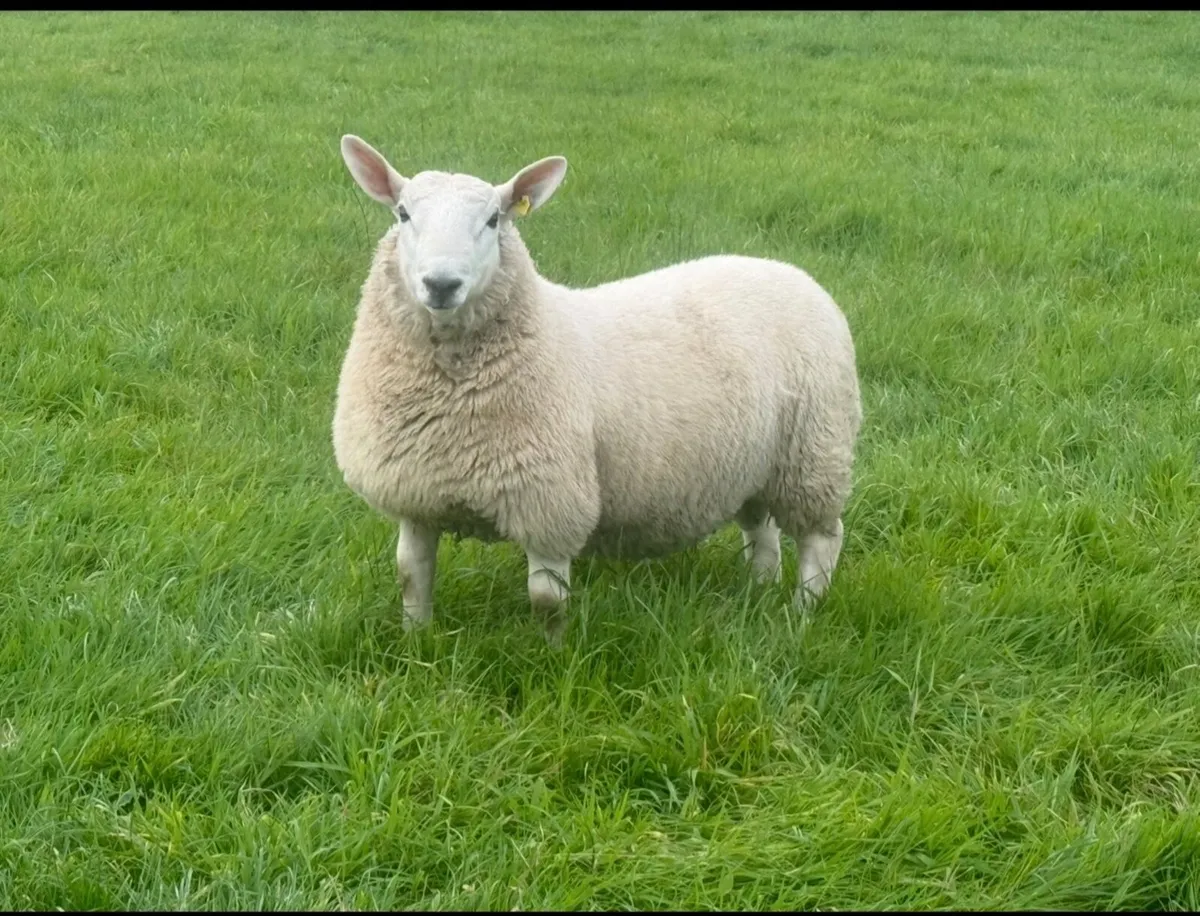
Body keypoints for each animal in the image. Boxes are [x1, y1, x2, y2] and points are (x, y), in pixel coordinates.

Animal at [332, 134, 862, 646]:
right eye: (403, 214)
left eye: (493, 219)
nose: (442, 284)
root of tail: (793, 274)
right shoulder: (416, 496)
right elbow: (410, 576)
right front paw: (415, 643)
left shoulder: (551, 504)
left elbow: (546, 599)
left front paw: (553, 656)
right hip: (752, 463)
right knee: (762, 531)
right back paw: (760, 593)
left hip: (815, 453)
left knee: (821, 541)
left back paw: (802, 613)